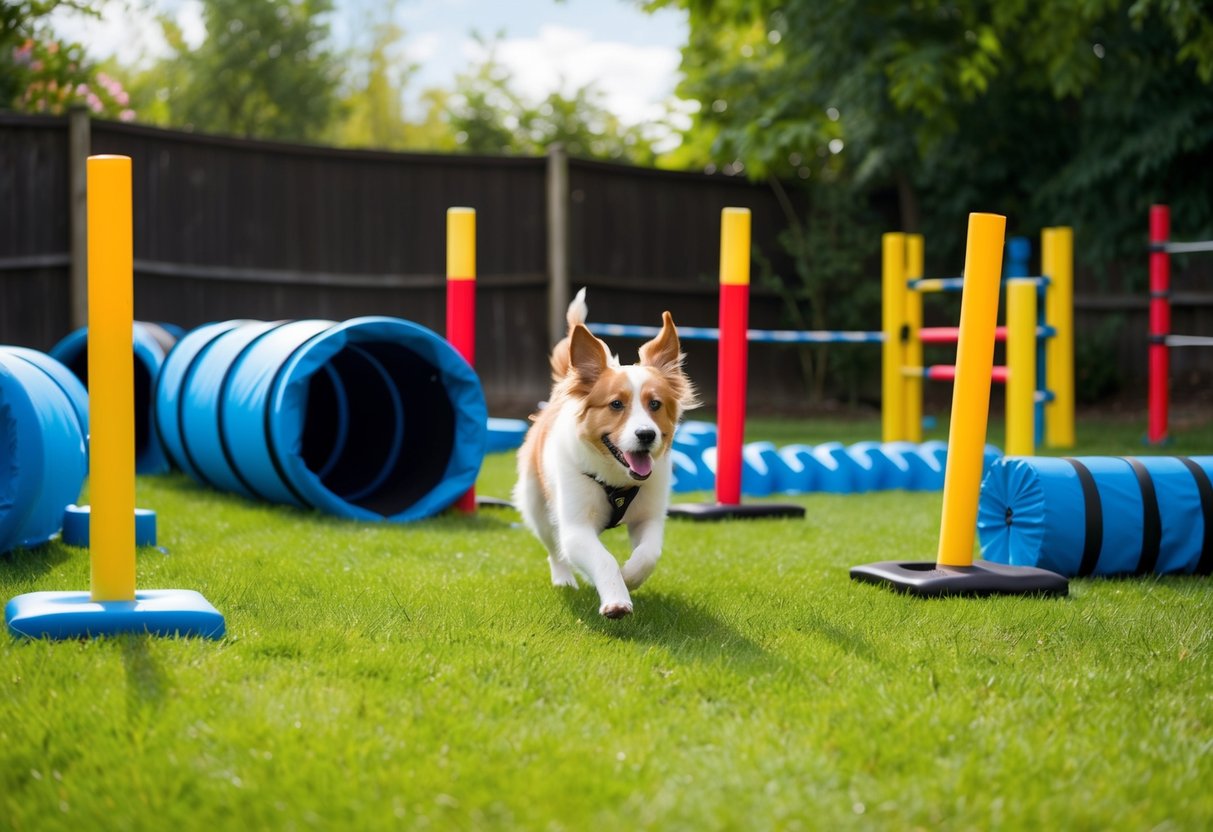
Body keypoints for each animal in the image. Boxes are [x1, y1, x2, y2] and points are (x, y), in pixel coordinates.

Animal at [514, 288, 703, 618]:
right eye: (616, 404)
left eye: (655, 404)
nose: (646, 435)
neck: (617, 479)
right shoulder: (576, 527)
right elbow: (602, 558)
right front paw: (616, 600)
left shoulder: (650, 516)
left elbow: (649, 553)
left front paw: (629, 577)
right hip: (536, 505)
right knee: (554, 549)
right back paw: (564, 579)